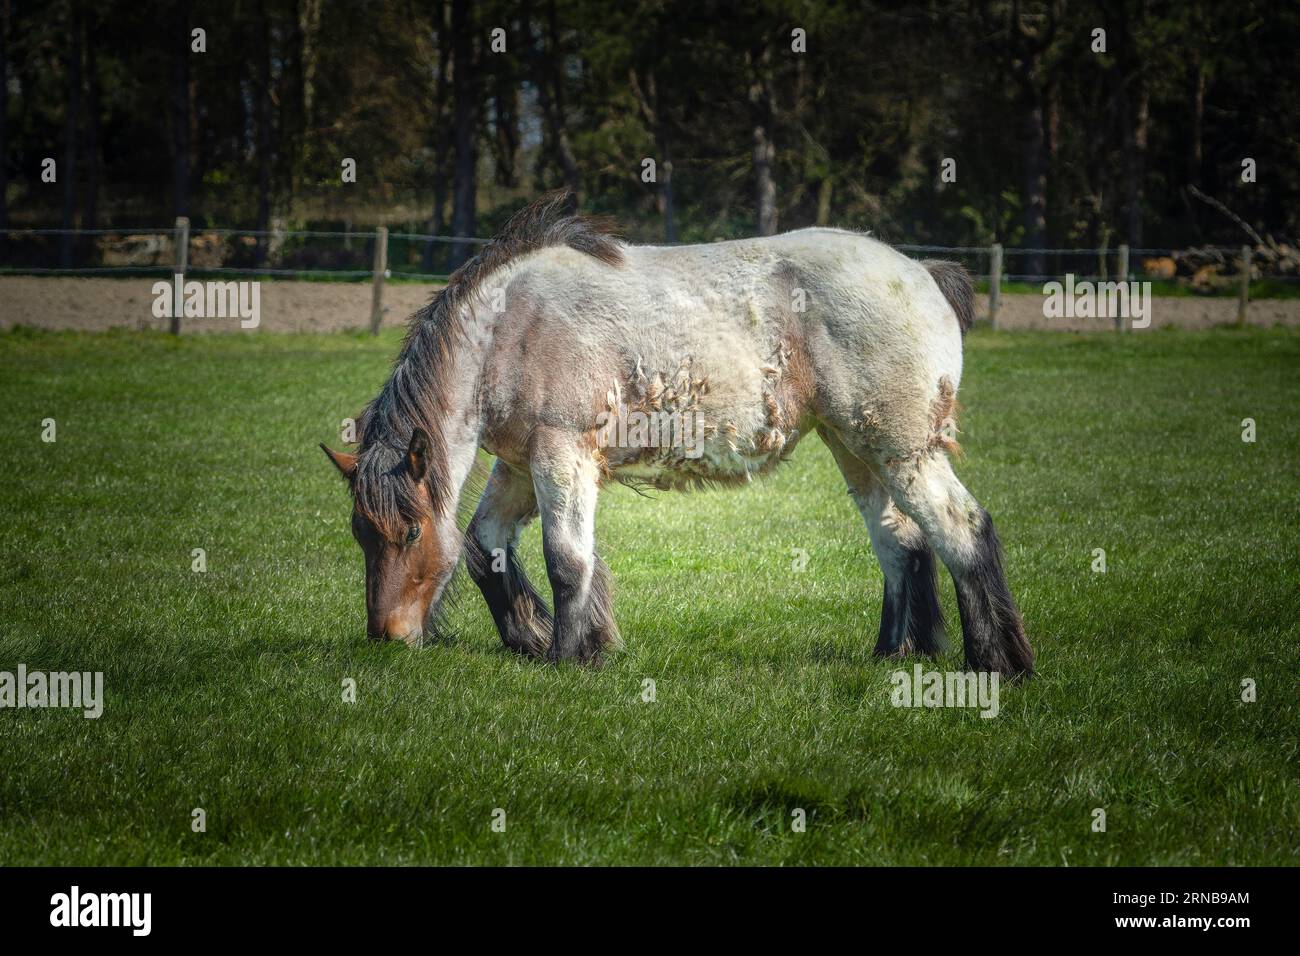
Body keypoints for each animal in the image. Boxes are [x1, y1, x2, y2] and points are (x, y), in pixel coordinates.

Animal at [321, 193, 1034, 679]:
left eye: (409, 532)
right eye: (361, 533)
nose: (387, 637)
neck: (507, 328)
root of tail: (921, 272)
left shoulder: (562, 455)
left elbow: (566, 558)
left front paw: (568, 656)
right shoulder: (520, 466)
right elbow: (483, 547)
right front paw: (537, 638)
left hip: (901, 450)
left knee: (962, 531)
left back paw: (997, 661)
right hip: (856, 448)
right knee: (901, 545)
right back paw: (894, 652)